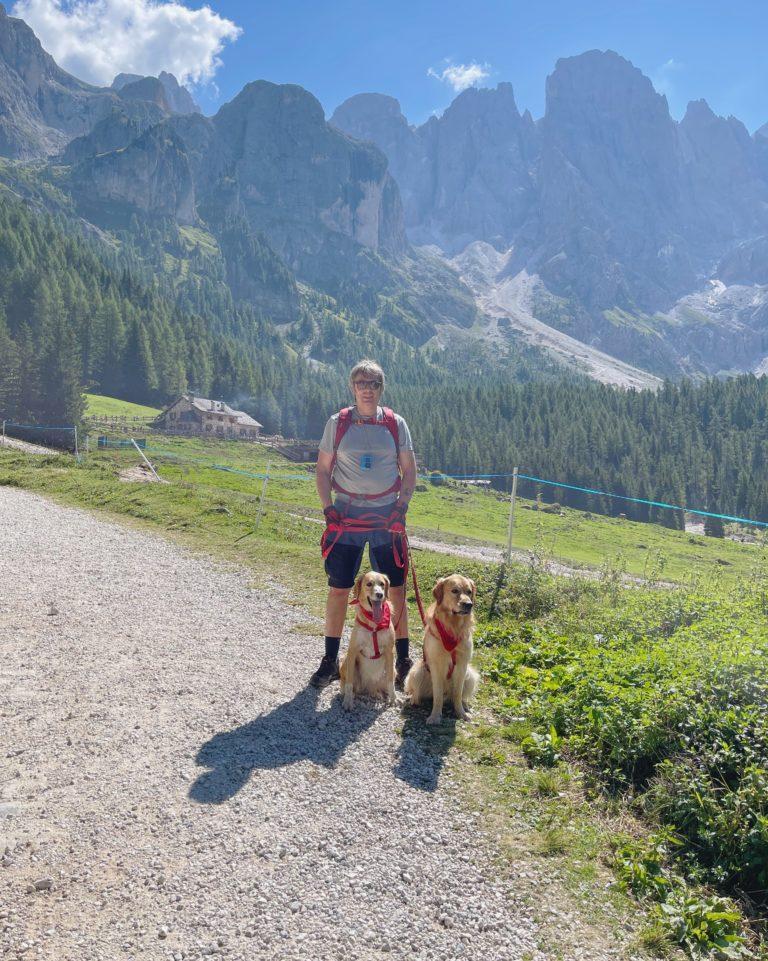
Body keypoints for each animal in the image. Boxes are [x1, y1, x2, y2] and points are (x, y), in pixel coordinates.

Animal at [340, 568, 396, 712]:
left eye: (382, 584)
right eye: (369, 584)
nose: (380, 594)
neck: (374, 624)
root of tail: (368, 686)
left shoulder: (390, 652)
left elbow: (390, 682)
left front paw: (393, 699)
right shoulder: (352, 650)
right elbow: (349, 683)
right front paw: (348, 701)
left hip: (393, 669)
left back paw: (377, 694)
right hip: (345, 661)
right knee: (347, 683)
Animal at [404, 572, 476, 724]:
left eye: (469, 592)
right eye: (455, 591)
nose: (468, 605)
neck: (453, 627)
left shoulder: (462, 665)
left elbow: (458, 693)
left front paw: (461, 713)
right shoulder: (436, 665)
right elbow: (437, 696)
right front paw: (435, 716)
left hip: (470, 674)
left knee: (457, 695)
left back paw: (465, 705)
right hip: (417, 671)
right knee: (418, 692)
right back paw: (414, 700)